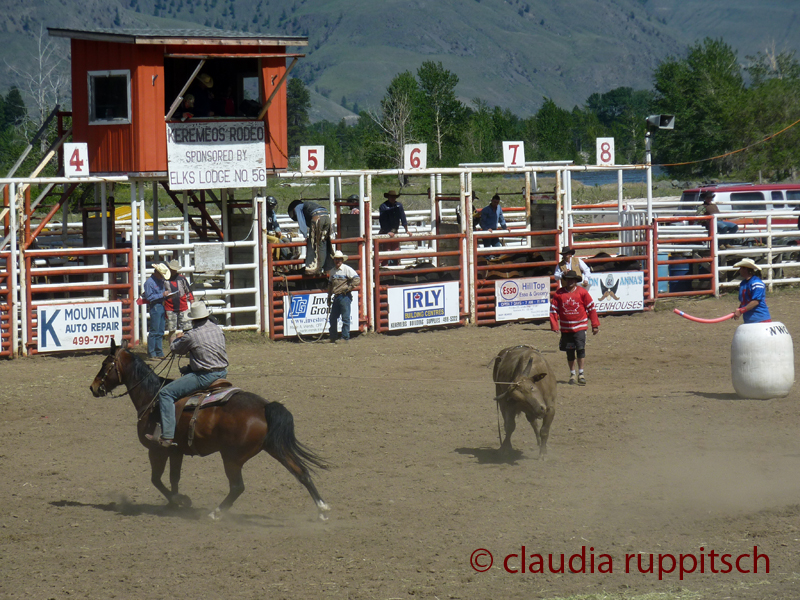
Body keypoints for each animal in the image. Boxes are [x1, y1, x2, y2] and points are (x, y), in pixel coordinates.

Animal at [86, 342, 324, 520]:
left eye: (105, 364)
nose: (93, 387)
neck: (152, 396)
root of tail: (264, 407)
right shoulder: (176, 451)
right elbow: (173, 478)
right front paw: (174, 503)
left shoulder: (157, 450)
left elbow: (156, 480)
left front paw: (181, 500)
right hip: (274, 447)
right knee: (301, 472)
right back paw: (322, 510)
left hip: (232, 457)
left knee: (237, 487)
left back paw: (215, 513)